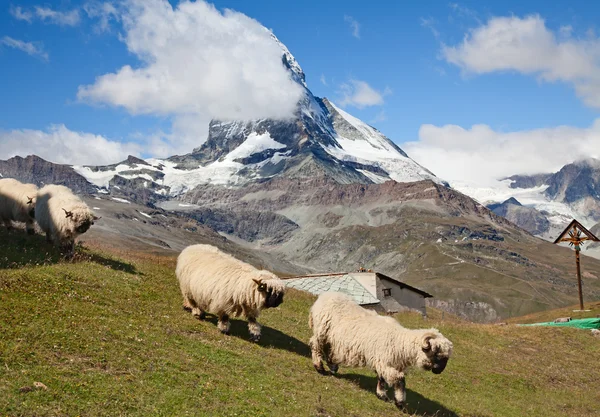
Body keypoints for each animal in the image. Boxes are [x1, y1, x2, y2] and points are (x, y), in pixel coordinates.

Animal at [310, 290, 454, 408]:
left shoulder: (384, 363)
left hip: (331, 338)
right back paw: (319, 367)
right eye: (437, 353)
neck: (398, 342)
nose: (439, 371)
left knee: (328, 350)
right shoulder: (384, 362)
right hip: (321, 331)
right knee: (315, 345)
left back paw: (333, 367)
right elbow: (400, 380)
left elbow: (382, 379)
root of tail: (324, 296)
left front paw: (382, 395)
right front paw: (399, 402)